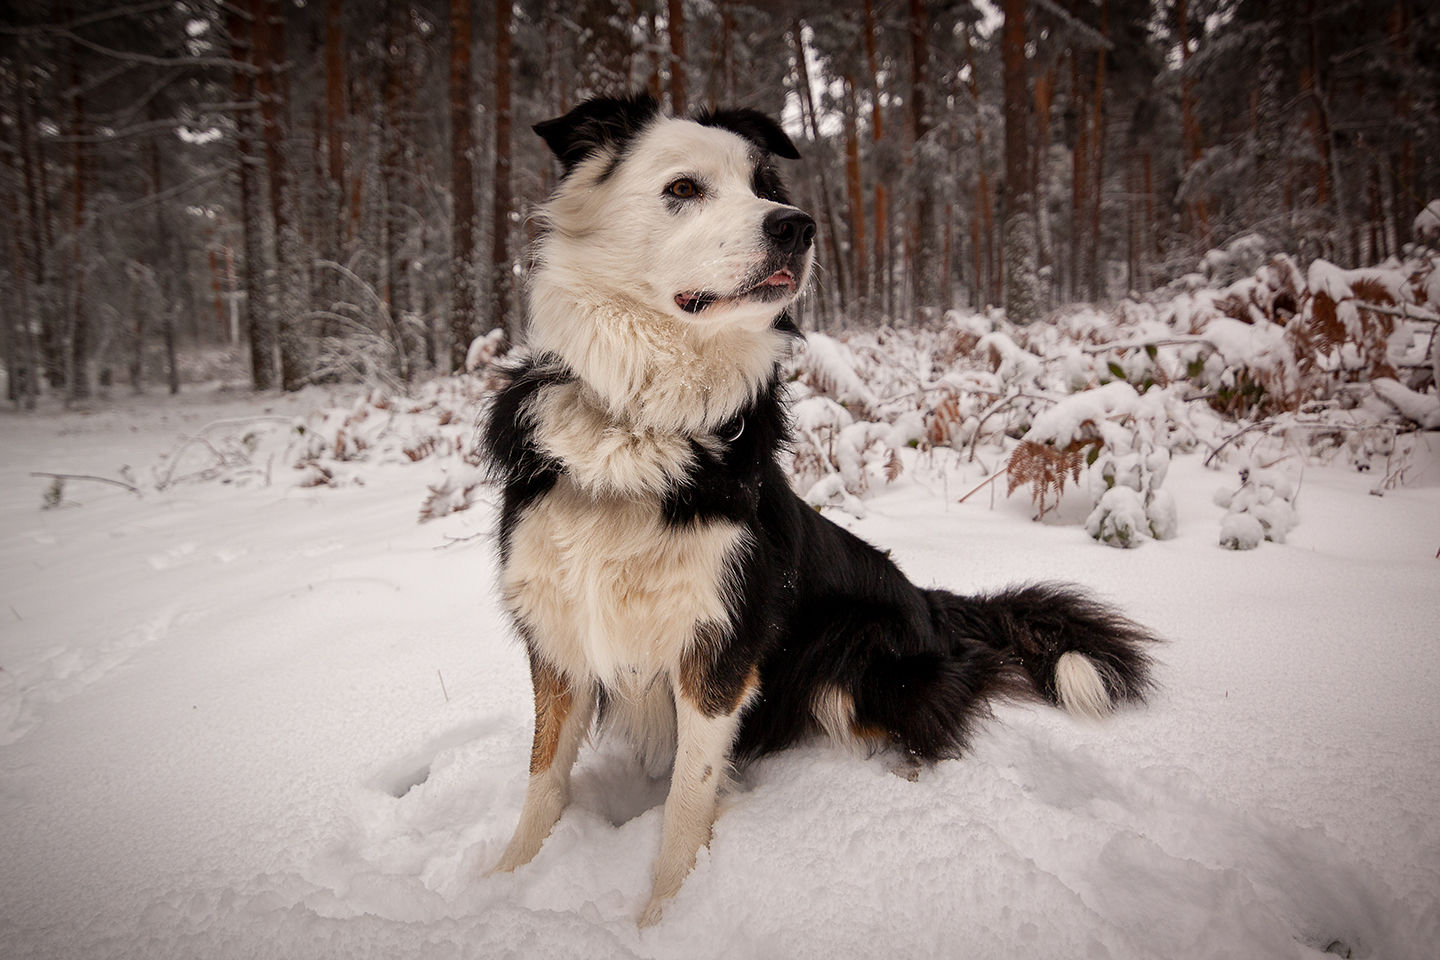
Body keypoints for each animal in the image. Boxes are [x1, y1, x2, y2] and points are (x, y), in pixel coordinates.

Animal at [483, 95, 1157, 921]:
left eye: (765, 185)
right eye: (684, 188)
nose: (797, 226)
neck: (639, 425)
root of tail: (931, 603)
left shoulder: (721, 651)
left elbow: (686, 803)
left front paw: (663, 916)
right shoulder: (558, 632)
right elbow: (543, 778)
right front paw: (502, 885)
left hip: (852, 660)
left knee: (923, 729)